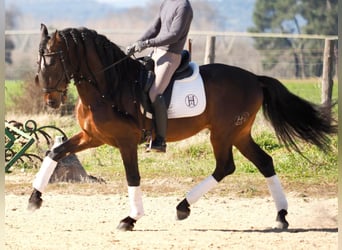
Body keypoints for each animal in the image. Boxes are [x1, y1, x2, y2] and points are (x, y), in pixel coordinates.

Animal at [28, 24, 336, 231]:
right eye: (38, 61)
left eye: (52, 61)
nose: (51, 100)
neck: (108, 87)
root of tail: (254, 78)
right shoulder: (92, 136)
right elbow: (55, 153)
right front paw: (34, 199)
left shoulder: (126, 142)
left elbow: (132, 177)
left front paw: (130, 219)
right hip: (239, 134)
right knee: (264, 162)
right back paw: (281, 216)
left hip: (223, 133)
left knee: (226, 166)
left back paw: (183, 206)